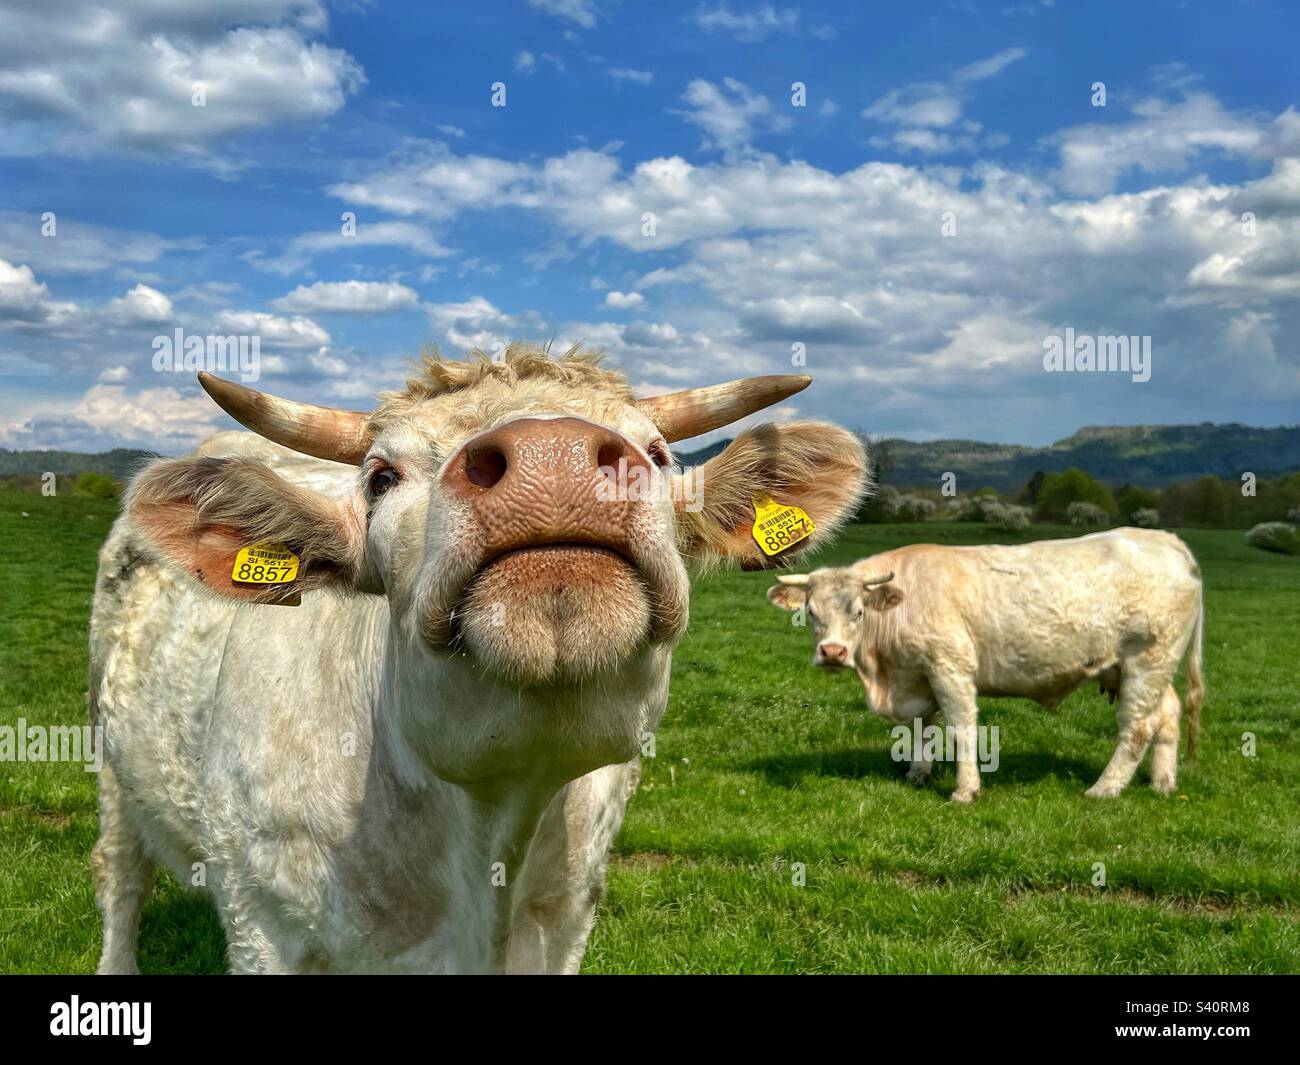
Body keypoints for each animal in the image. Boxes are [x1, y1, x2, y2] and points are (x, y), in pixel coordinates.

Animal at [764, 527, 1201, 806]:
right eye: (811, 612)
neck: (885, 675)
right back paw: (1163, 784)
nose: (832, 652)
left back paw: (1104, 789)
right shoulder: (917, 677)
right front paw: (918, 774)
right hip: (1145, 668)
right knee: (1167, 716)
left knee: (1137, 727)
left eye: (857, 612)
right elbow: (922, 729)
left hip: (1147, 660)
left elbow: (960, 730)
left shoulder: (949, 666)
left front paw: (965, 791)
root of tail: (1164, 539)